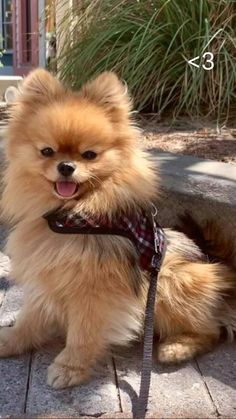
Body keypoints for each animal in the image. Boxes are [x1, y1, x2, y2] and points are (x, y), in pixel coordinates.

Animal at [0, 69, 236, 390]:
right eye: (46, 151)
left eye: (89, 155)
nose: (66, 166)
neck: (73, 218)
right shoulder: (48, 274)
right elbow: (30, 317)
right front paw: (12, 339)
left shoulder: (95, 290)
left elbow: (83, 333)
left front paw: (70, 367)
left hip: (171, 278)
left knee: (213, 330)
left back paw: (177, 347)